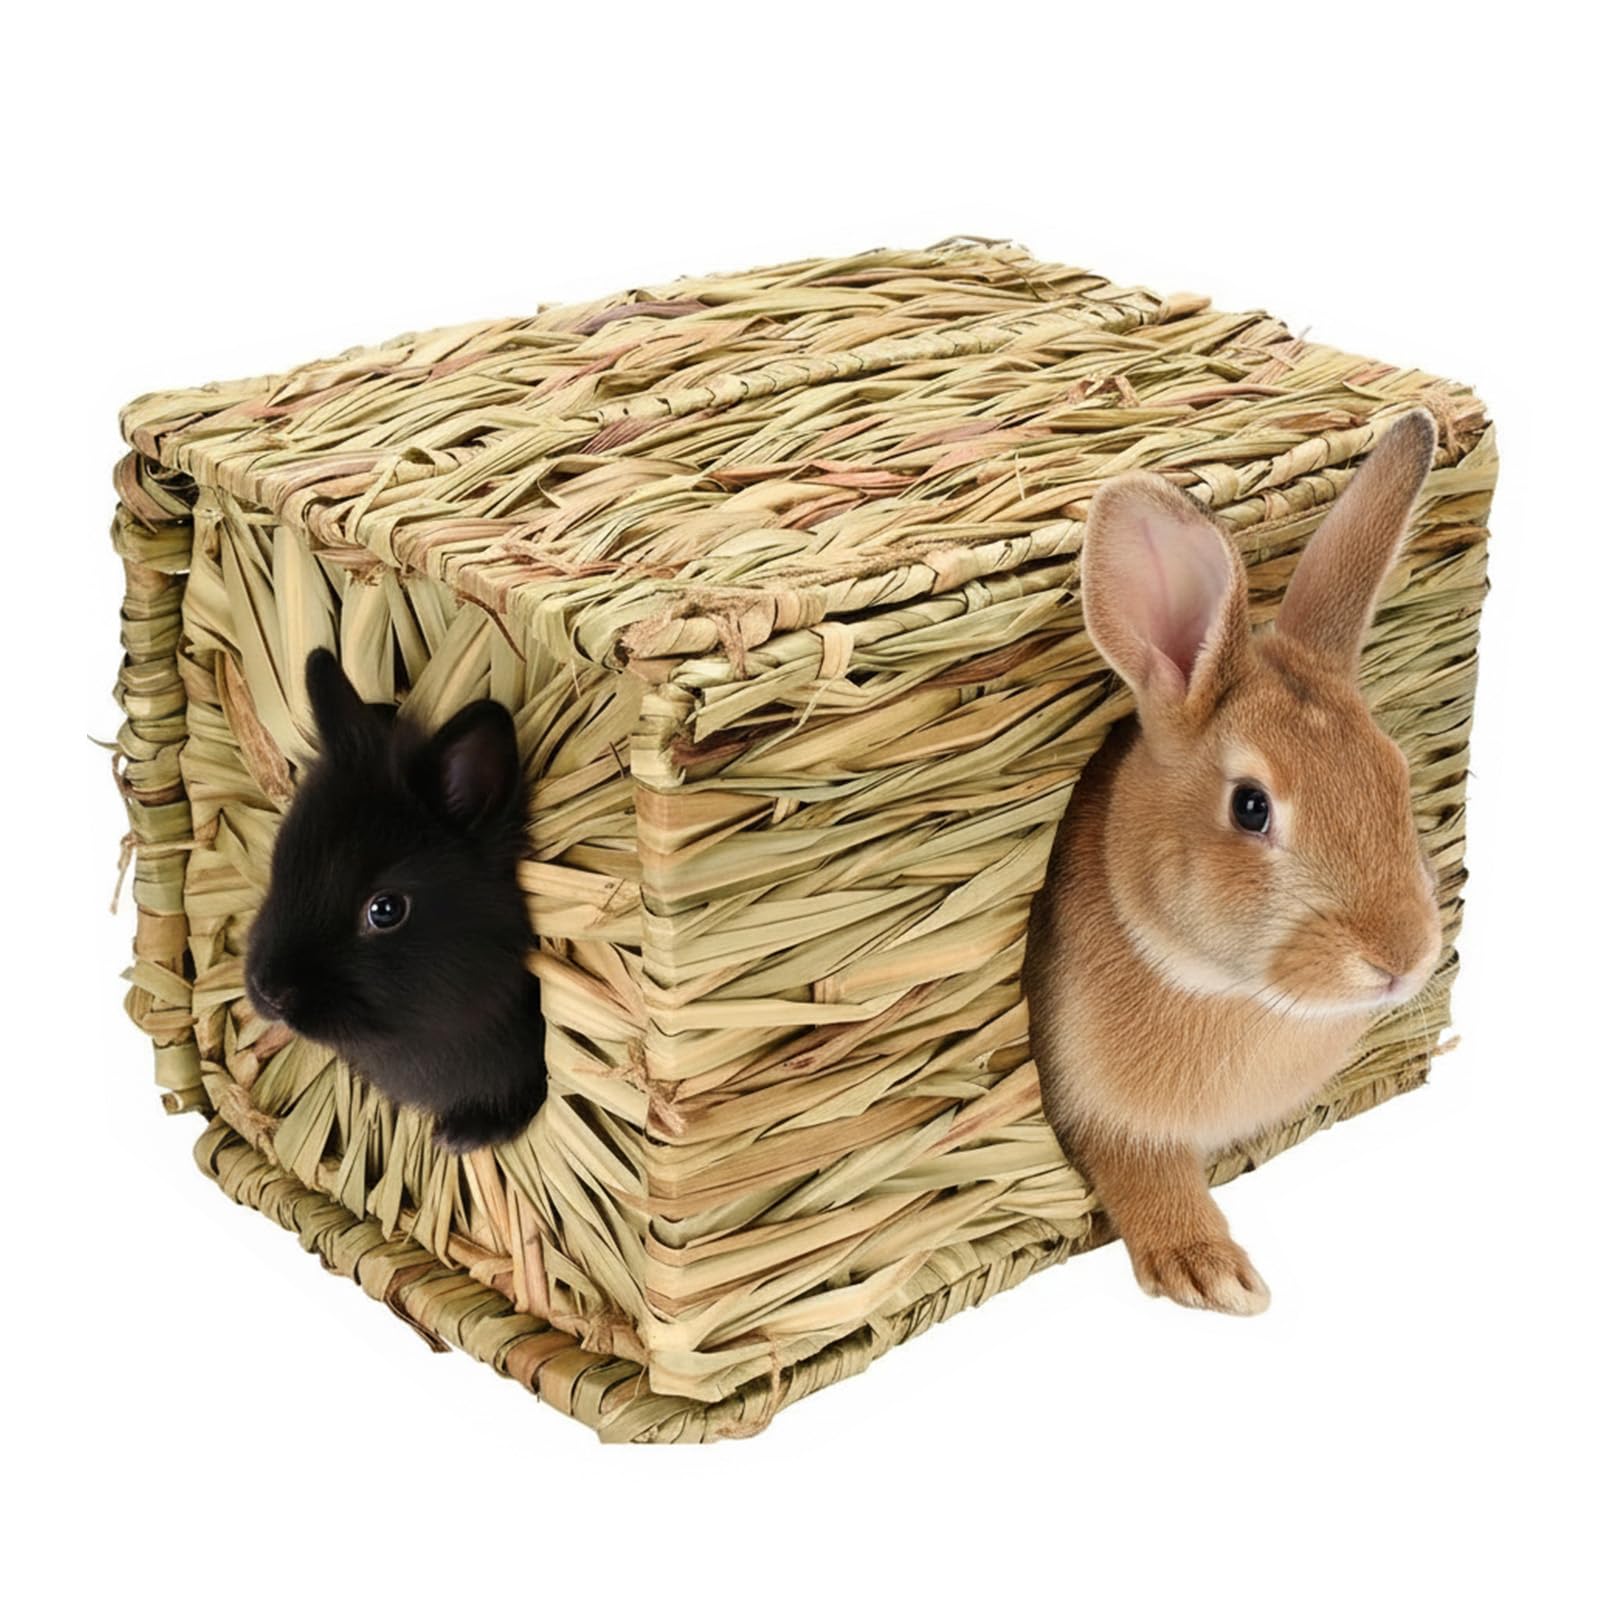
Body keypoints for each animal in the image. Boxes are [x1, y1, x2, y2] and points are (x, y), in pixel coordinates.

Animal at [1022, 410, 1443, 1314]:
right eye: (1251, 807)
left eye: (1395, 774)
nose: (1400, 958)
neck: (1226, 991)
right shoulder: (1089, 1107)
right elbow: (1141, 1171)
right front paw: (1211, 1272)